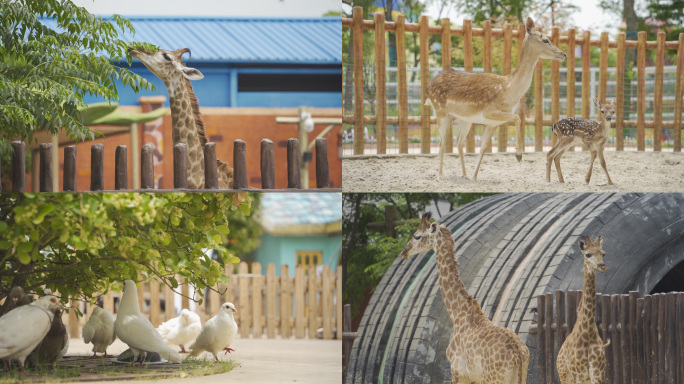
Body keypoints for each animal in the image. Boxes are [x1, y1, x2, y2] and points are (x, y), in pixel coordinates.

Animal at [400, 213, 528, 384]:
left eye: (417, 236)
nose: (404, 252)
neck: (458, 315)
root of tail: (518, 355)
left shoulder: (458, 372)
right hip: (520, 377)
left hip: (492, 380)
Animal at [428, 16, 568, 180]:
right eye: (545, 40)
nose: (563, 54)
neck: (509, 90)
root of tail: (429, 85)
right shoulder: (489, 111)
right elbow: (517, 118)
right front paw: (518, 154)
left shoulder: (493, 123)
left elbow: (483, 148)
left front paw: (475, 177)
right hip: (440, 111)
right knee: (442, 142)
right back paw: (440, 175)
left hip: (464, 119)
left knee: (459, 142)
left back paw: (464, 175)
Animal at [560, 236, 612, 384]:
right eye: (588, 254)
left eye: (603, 253)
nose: (602, 266)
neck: (587, 333)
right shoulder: (578, 375)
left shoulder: (598, 374)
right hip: (564, 375)